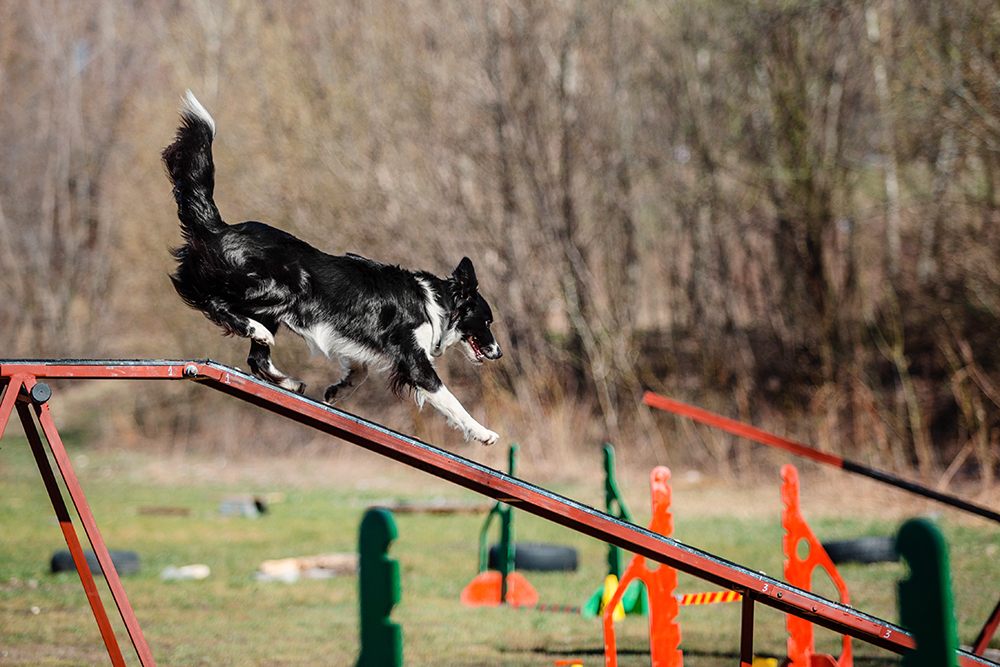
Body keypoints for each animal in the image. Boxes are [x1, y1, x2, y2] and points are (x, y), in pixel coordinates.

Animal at [166, 88, 508, 444]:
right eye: (487, 322)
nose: (499, 353)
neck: (436, 302)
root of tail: (220, 227)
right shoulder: (414, 360)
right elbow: (449, 398)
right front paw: (483, 432)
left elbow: (361, 369)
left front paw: (338, 390)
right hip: (282, 289)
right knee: (215, 304)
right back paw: (256, 331)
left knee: (256, 358)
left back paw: (289, 380)